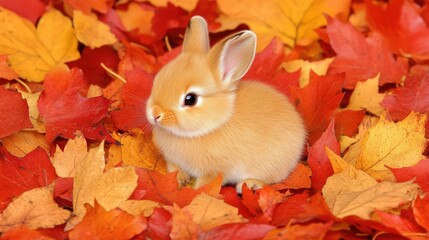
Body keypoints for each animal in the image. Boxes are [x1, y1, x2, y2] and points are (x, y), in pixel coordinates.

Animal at [145, 15, 306, 193]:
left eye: (190, 99)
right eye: (157, 80)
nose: (155, 114)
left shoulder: (214, 171)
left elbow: (206, 184)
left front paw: (194, 192)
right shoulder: (175, 163)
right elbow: (176, 172)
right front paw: (179, 182)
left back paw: (249, 185)